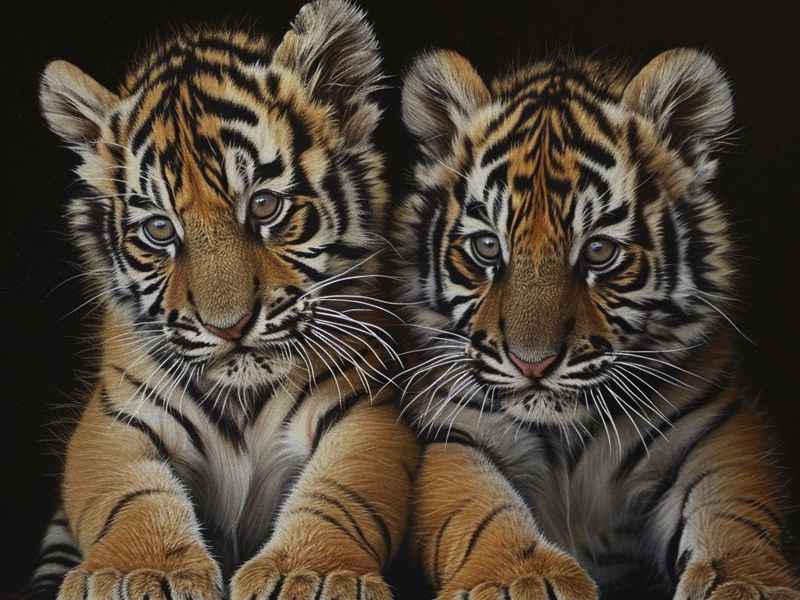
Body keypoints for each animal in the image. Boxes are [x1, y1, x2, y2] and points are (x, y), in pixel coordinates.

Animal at [25, 2, 419, 600]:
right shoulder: (116, 420)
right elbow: (132, 495)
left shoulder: (365, 408)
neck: (243, 400)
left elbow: (342, 493)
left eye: (264, 206)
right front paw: (138, 571)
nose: (230, 327)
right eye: (160, 230)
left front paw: (311, 573)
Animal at [393, 48, 800, 600]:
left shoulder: (713, 433)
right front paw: (521, 579)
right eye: (487, 247)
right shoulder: (455, 432)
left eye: (600, 252)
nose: (532, 364)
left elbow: (733, 511)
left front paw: (747, 583)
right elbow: (478, 508)